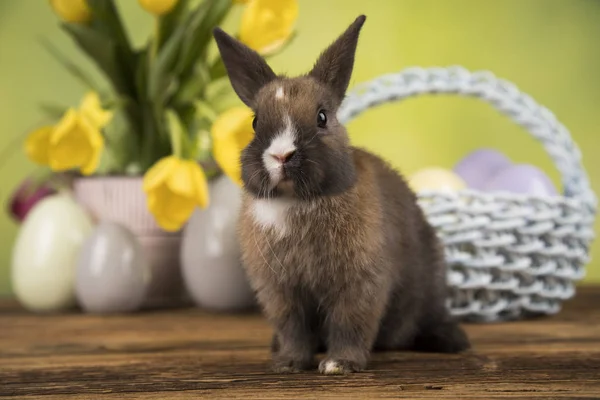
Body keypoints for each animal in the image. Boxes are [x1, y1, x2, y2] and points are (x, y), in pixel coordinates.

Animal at [213, 13, 472, 376]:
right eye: (254, 122)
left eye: (322, 117)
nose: (281, 155)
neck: (297, 201)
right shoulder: (281, 292)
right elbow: (293, 328)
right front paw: (288, 363)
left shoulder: (359, 285)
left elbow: (350, 324)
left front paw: (340, 365)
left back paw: (452, 341)